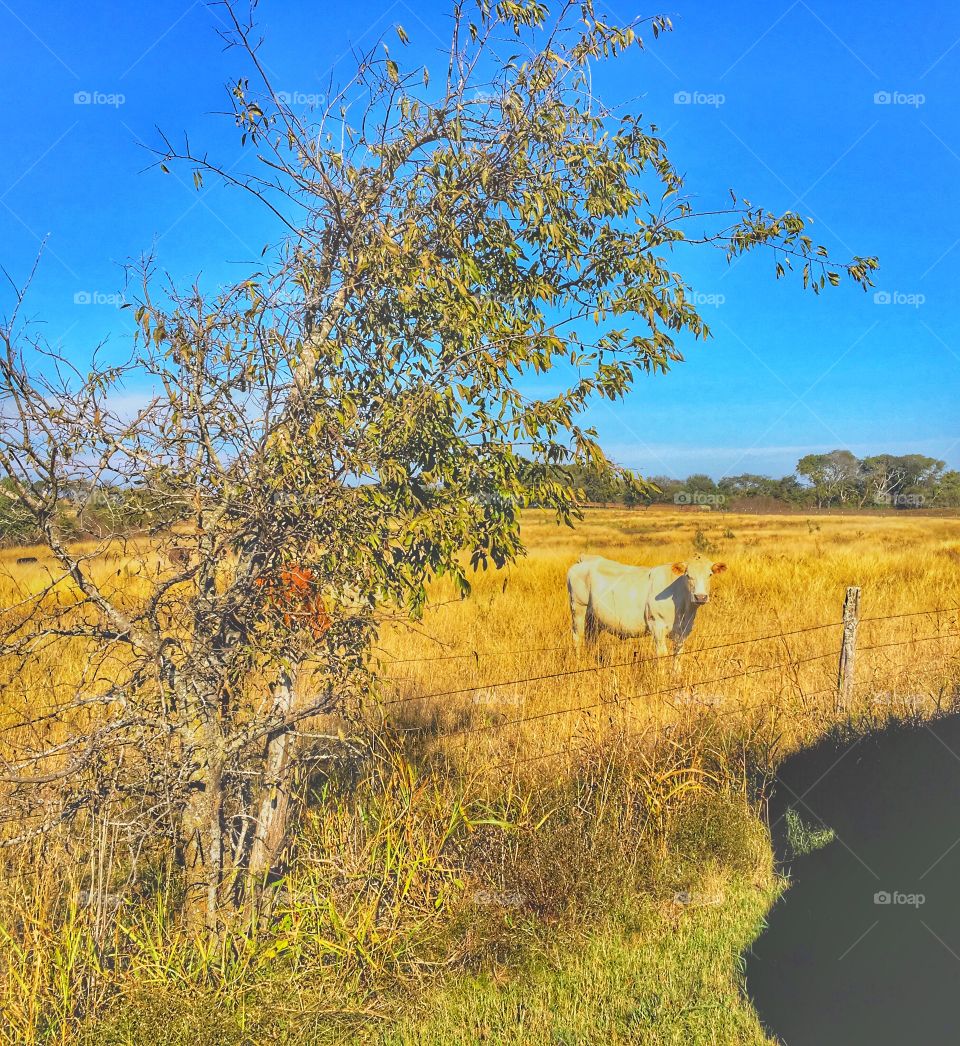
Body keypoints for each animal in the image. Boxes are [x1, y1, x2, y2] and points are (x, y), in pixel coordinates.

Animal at [567, 554, 726, 665]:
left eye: (710, 574)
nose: (701, 596)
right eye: (688, 575)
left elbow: (678, 653)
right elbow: (662, 654)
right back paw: (579, 662)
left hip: (593, 618)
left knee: (591, 639)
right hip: (578, 608)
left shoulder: (683, 630)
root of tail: (585, 558)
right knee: (577, 637)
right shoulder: (657, 625)